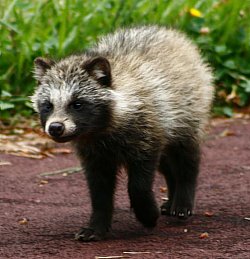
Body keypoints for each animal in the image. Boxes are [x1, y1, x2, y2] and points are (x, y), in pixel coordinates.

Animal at [32, 25, 214, 242]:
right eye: (48, 105)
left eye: (77, 104)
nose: (55, 127)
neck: (98, 131)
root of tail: (170, 33)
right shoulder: (94, 154)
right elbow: (99, 190)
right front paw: (97, 224)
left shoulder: (145, 131)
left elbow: (138, 185)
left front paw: (147, 213)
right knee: (166, 165)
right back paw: (172, 194)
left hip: (189, 109)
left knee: (186, 157)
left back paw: (183, 197)